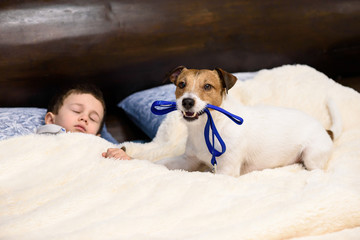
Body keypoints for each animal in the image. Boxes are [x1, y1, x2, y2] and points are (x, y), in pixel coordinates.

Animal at [153, 66, 344, 177]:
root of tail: (325, 130)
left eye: (207, 86)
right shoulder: (188, 160)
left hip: (311, 156)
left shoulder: (226, 171)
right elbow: (164, 163)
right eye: (181, 84)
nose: (187, 101)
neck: (208, 127)